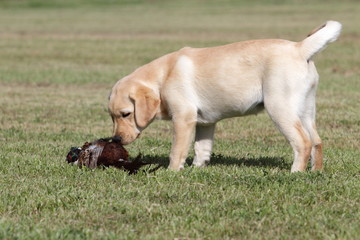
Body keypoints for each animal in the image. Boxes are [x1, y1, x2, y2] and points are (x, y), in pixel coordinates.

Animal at [108, 20, 342, 171]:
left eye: (126, 114)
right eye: (112, 117)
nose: (115, 139)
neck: (162, 76)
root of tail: (300, 48)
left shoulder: (183, 118)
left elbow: (177, 151)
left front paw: (172, 173)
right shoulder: (205, 123)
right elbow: (202, 149)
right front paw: (197, 169)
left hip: (280, 108)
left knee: (303, 142)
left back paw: (295, 173)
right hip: (306, 110)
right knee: (317, 142)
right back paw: (315, 172)